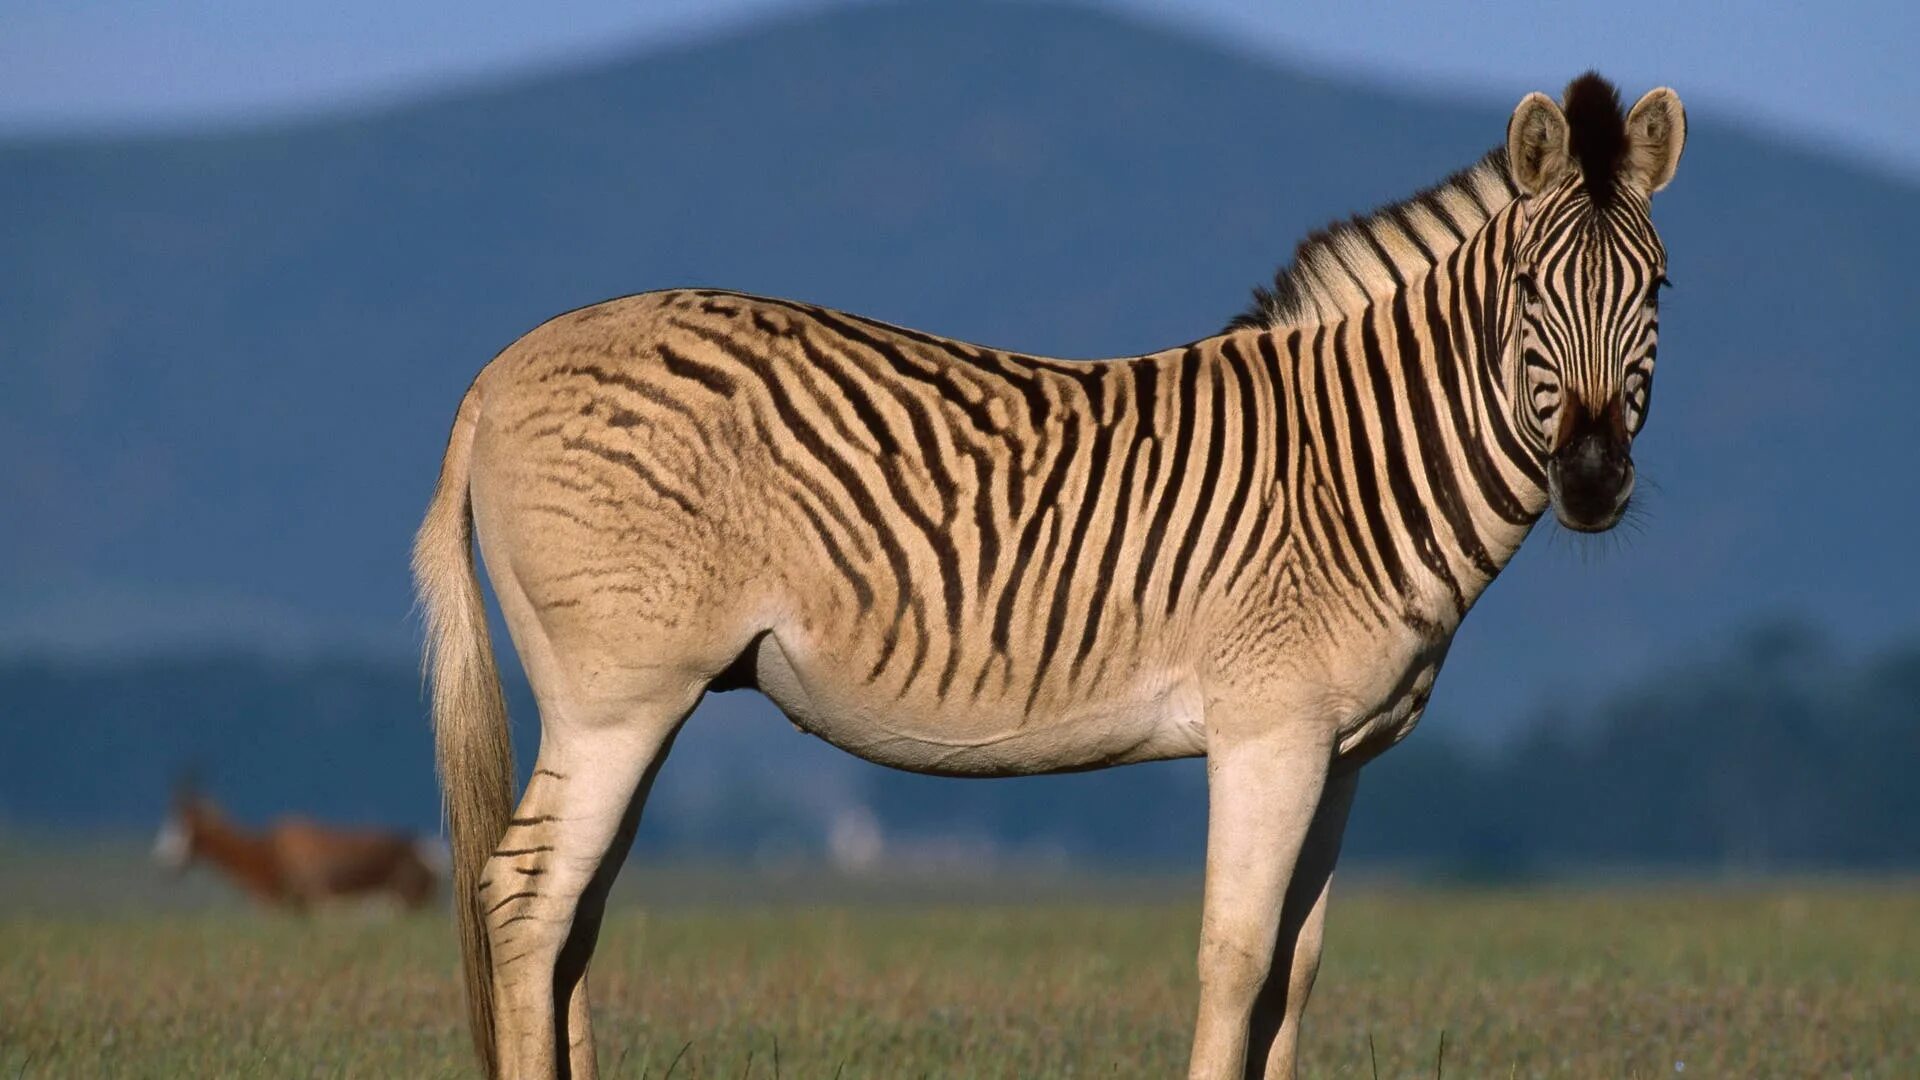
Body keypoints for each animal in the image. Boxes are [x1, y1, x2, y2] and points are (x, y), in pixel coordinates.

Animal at [416, 75, 1681, 1076]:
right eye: (1529, 292)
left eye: (1657, 293)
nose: (1591, 481)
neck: (1349, 471)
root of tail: (497, 368)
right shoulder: (1267, 732)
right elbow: (1237, 958)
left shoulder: (1346, 752)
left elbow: (1298, 969)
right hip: (616, 696)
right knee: (526, 898)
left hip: (635, 704)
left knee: (574, 912)